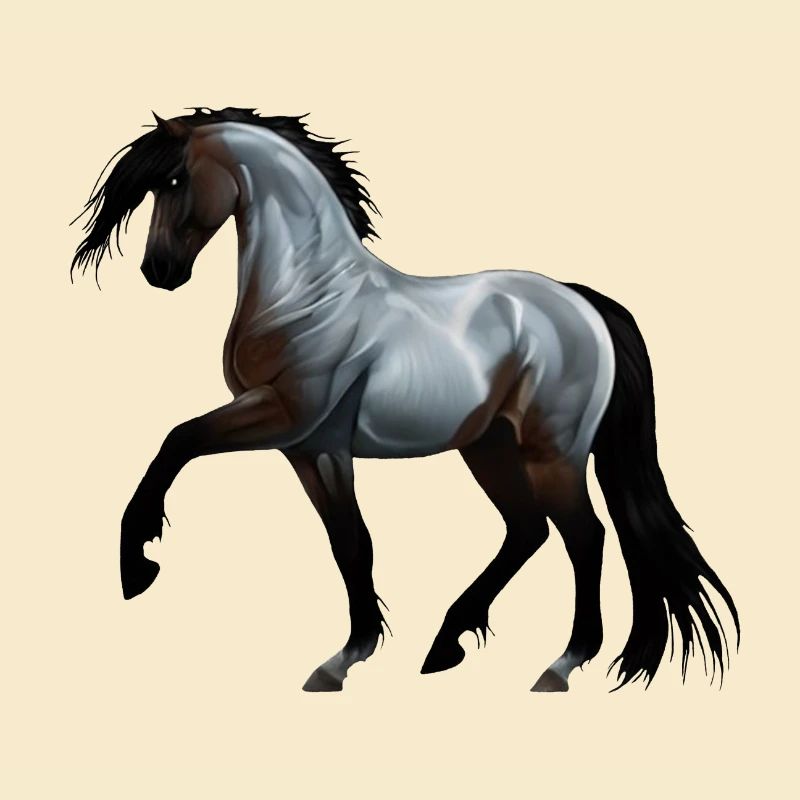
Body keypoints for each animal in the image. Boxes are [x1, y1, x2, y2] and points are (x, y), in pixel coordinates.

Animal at [71, 107, 739, 693]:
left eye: (176, 178)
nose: (159, 271)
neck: (309, 293)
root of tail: (582, 304)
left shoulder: (293, 422)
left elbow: (181, 440)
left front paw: (138, 566)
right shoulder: (304, 449)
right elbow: (348, 546)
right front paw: (344, 659)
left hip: (552, 455)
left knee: (587, 539)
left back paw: (559, 667)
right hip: (489, 448)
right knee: (528, 532)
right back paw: (447, 644)